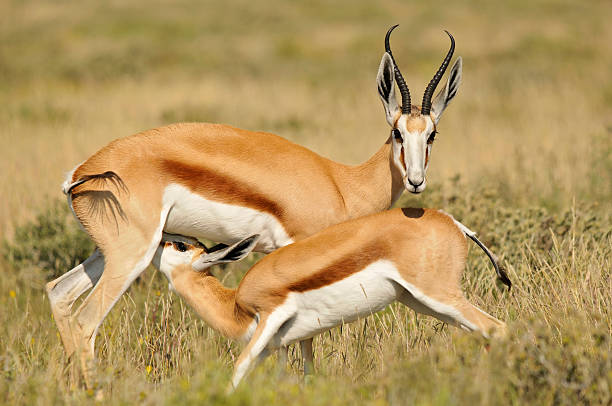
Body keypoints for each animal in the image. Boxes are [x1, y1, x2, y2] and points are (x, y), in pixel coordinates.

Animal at [45, 26, 462, 386]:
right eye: (397, 132)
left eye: (432, 134)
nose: (416, 181)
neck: (343, 182)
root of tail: (82, 172)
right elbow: (301, 336)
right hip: (132, 254)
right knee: (86, 321)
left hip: (109, 251)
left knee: (58, 292)